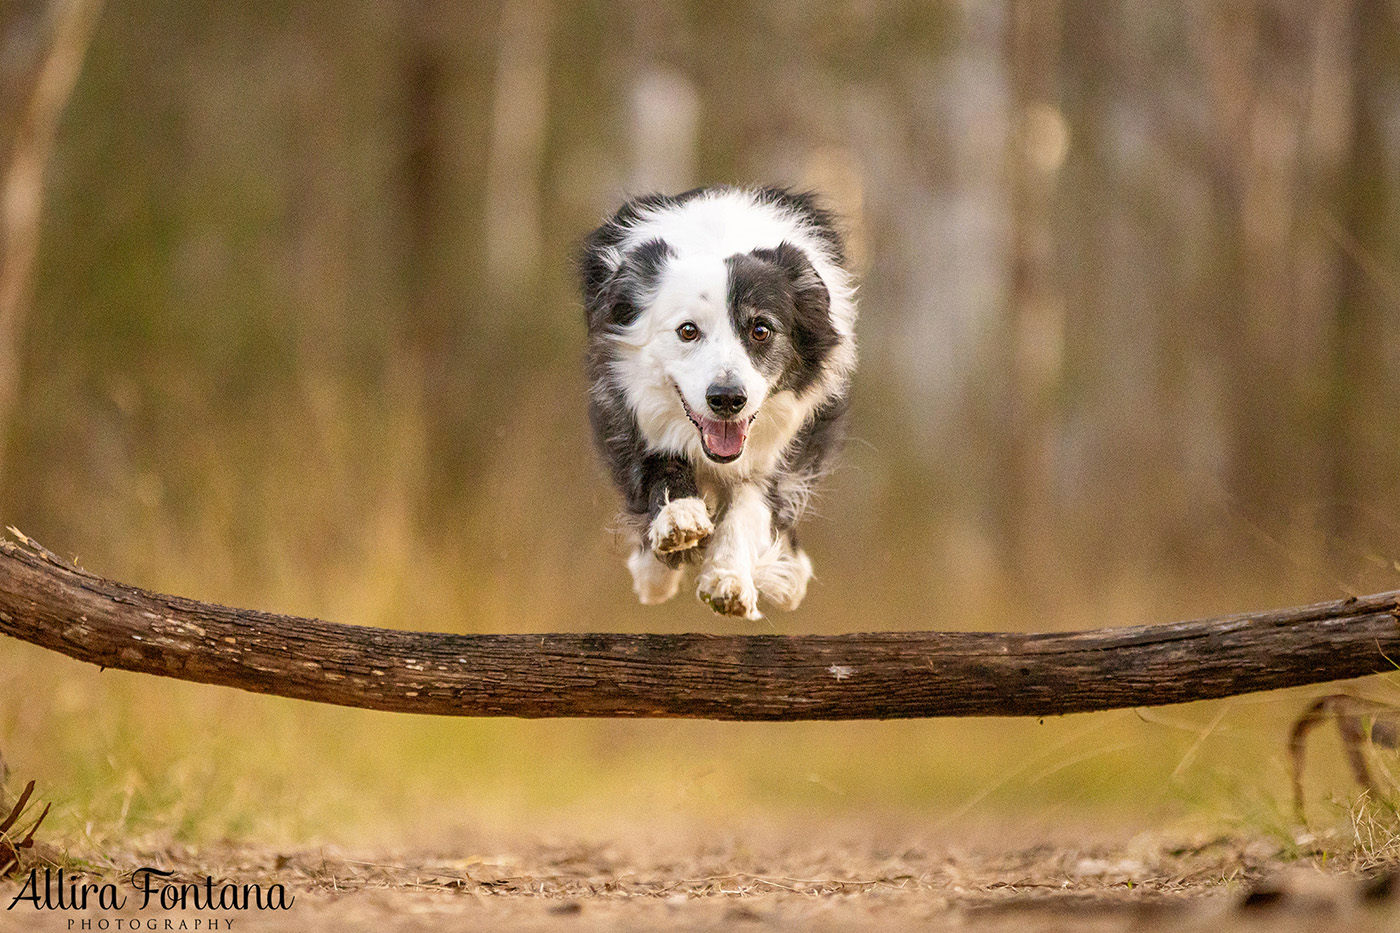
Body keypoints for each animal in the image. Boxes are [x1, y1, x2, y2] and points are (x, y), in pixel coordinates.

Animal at [576, 186, 851, 616]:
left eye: (761, 330)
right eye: (688, 331)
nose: (727, 398)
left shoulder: (791, 440)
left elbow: (752, 502)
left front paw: (729, 579)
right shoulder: (621, 408)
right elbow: (657, 465)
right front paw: (679, 521)